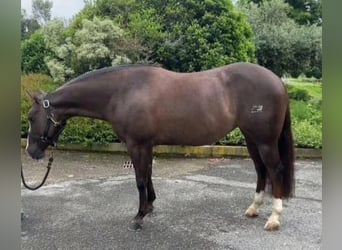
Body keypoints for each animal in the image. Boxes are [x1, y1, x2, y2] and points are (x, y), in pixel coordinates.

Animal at [26, 62, 294, 230]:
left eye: (30, 117)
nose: (31, 152)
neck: (123, 92)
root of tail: (277, 81)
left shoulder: (136, 144)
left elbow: (140, 180)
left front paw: (139, 216)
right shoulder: (147, 145)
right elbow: (149, 175)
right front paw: (150, 206)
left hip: (264, 141)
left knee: (275, 170)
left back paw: (274, 218)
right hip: (251, 139)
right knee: (261, 170)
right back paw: (253, 208)